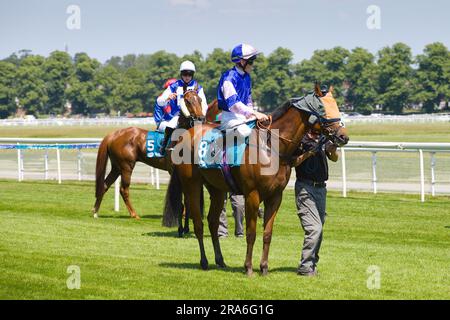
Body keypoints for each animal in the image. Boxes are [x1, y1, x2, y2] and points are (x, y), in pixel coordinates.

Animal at [92, 89, 207, 221]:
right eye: (187, 101)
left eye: (200, 99)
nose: (201, 118)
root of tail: (114, 134)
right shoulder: (174, 170)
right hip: (126, 166)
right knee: (123, 189)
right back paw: (134, 214)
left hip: (116, 167)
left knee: (104, 185)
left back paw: (95, 212)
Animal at [168, 83, 348, 276]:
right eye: (323, 109)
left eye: (336, 106)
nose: (344, 136)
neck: (271, 147)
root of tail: (184, 135)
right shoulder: (252, 195)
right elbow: (251, 233)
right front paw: (248, 267)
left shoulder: (275, 196)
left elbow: (267, 233)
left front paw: (264, 267)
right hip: (191, 185)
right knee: (198, 223)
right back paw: (204, 261)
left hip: (217, 189)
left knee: (212, 222)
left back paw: (220, 260)